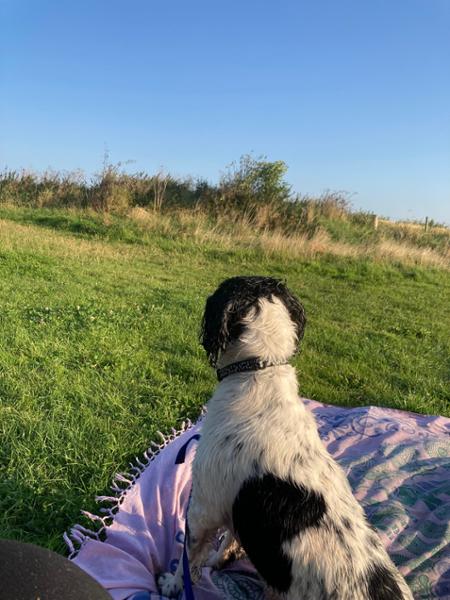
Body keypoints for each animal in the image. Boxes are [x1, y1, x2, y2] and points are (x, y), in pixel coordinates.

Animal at [157, 276, 412, 600]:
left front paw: (173, 584)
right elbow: (231, 537)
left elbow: (188, 558)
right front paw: (220, 559)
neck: (260, 370)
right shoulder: (236, 507)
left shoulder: (204, 507)